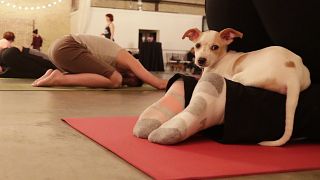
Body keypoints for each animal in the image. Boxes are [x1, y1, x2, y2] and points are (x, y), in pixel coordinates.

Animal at [181, 28, 312, 146]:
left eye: (215, 47)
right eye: (197, 45)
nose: (201, 60)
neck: (220, 59)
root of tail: (292, 75)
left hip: (242, 76)